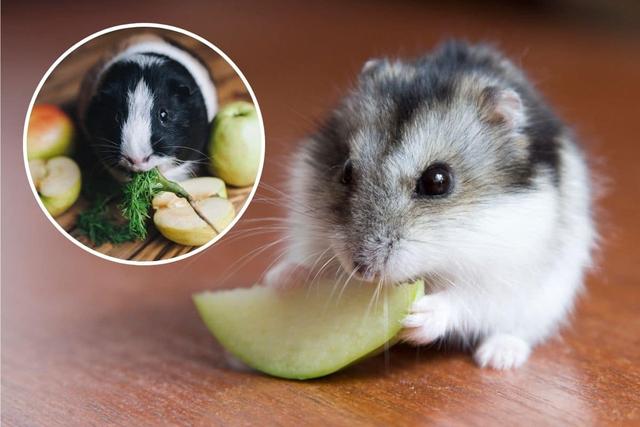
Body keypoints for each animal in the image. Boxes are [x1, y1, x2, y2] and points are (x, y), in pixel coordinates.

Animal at [265, 41, 596, 369]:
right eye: (346, 171)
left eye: (438, 181)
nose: (362, 272)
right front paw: (280, 280)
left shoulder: (504, 275)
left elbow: (467, 299)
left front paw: (417, 319)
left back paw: (498, 357)